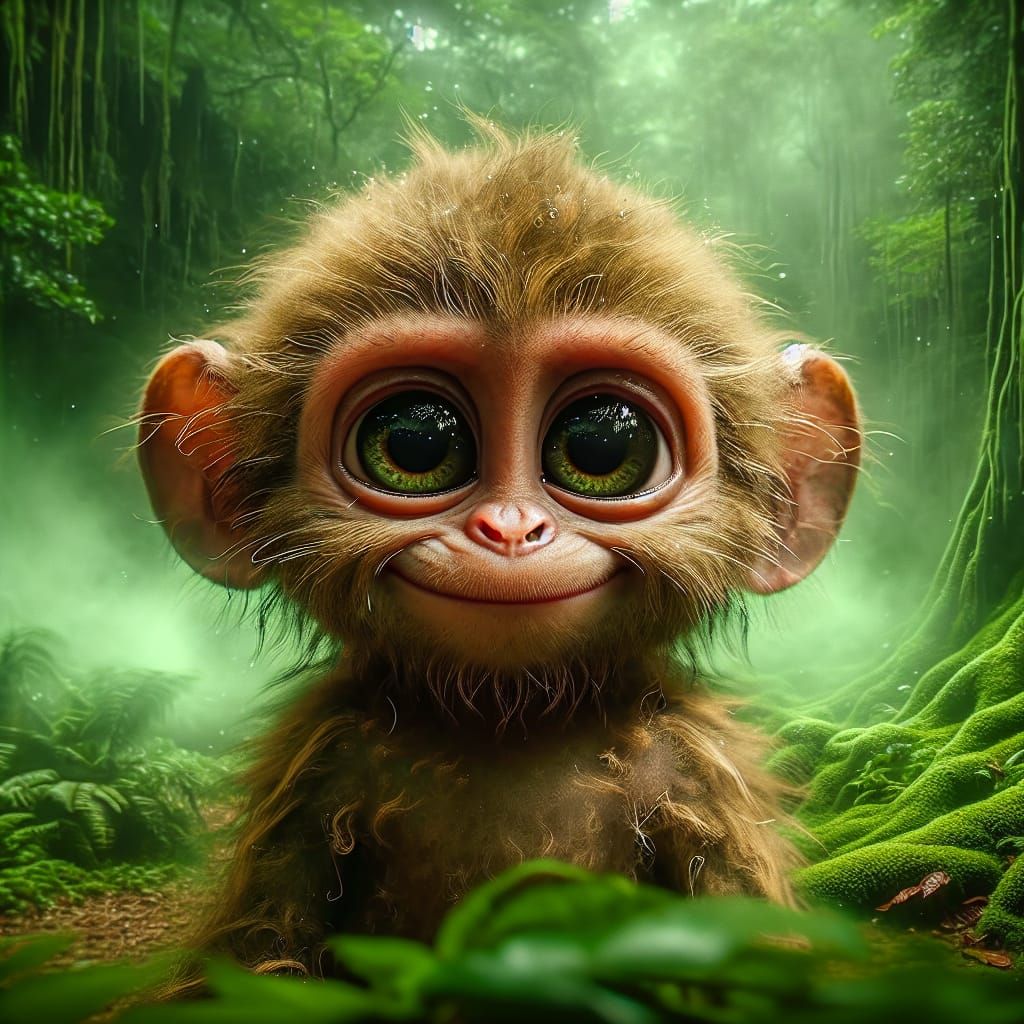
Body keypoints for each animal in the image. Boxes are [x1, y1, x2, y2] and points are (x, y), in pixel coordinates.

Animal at [136, 122, 860, 977]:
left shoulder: (699, 769)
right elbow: (261, 950)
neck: (508, 719)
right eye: (412, 443)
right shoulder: (318, 766)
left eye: (601, 445)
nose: (511, 530)